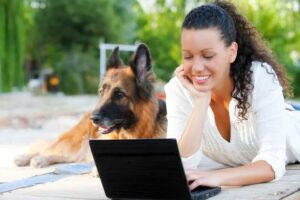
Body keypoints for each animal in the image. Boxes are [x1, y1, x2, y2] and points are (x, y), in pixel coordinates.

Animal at [14, 43, 166, 170]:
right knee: (49, 147)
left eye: (119, 94)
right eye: (101, 92)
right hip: (75, 141)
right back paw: (29, 158)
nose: (94, 119)